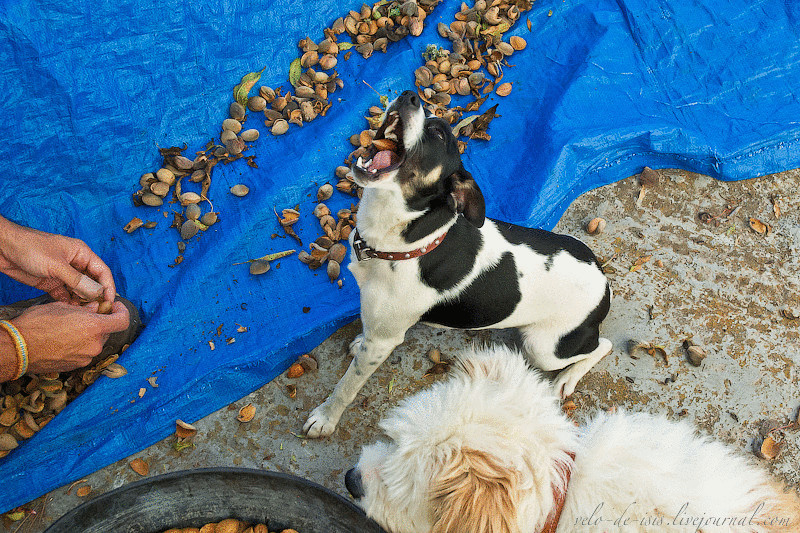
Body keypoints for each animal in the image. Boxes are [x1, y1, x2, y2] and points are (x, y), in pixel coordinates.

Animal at [304, 89, 608, 436]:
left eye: (438, 134)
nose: (408, 95)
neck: (400, 241)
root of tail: (603, 280)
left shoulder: (384, 341)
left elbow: (347, 386)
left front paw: (326, 418)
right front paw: (357, 341)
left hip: (544, 347)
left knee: (603, 345)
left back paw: (568, 378)